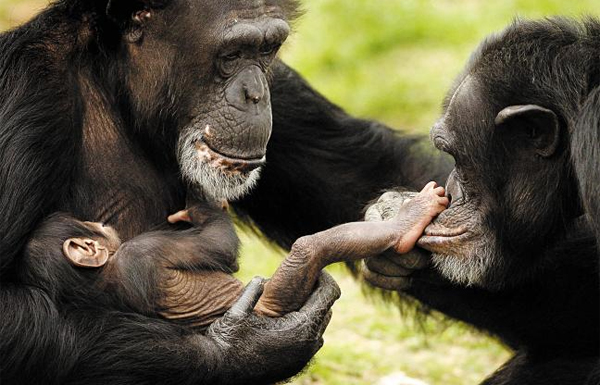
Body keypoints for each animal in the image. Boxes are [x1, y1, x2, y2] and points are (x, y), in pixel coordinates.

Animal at [19, 182, 446, 326]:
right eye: (92, 226)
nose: (101, 223)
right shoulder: (145, 251)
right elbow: (221, 248)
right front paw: (201, 203)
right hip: (275, 300)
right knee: (307, 248)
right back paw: (407, 221)